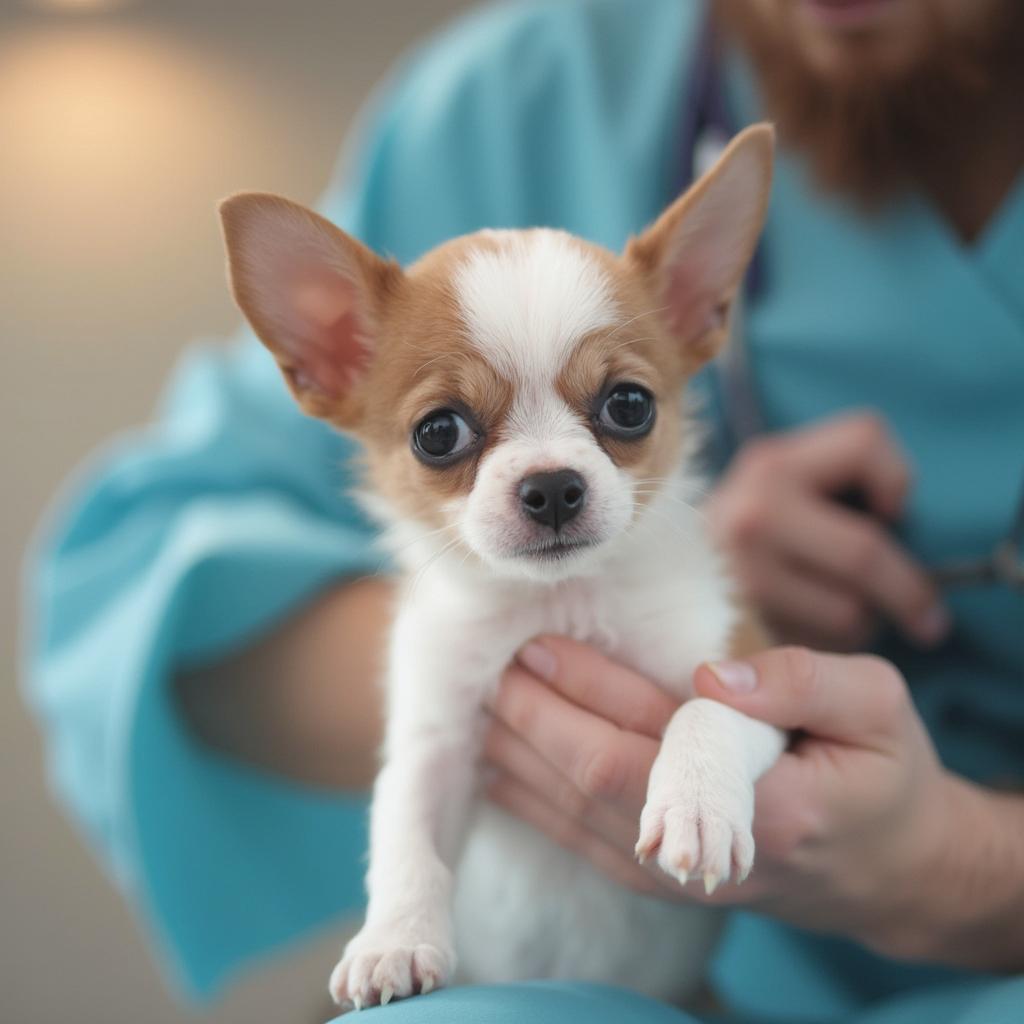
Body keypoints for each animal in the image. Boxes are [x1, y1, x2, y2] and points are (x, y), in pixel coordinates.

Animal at [222, 121, 782, 1007]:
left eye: (629, 406)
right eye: (438, 433)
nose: (551, 486)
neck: (557, 604)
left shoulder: (756, 666)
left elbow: (707, 707)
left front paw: (696, 806)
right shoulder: (436, 744)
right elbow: (405, 838)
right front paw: (394, 939)